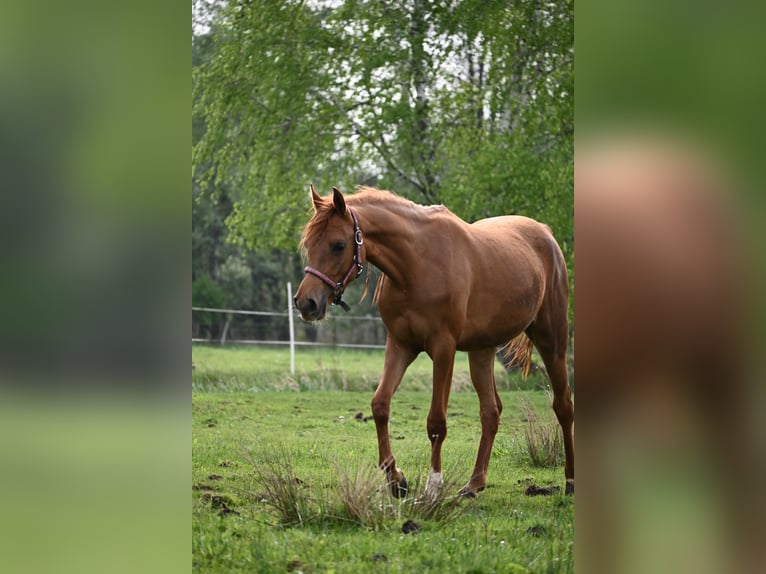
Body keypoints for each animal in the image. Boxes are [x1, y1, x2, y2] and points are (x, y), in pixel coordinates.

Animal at [294, 186, 576, 500]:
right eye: (308, 244)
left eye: (338, 245)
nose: (306, 303)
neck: (415, 264)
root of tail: (546, 233)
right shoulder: (400, 345)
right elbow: (380, 405)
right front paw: (396, 480)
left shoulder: (443, 350)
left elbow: (436, 422)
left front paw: (433, 486)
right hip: (481, 351)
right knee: (491, 412)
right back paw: (474, 484)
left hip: (552, 341)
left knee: (563, 406)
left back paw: (570, 480)